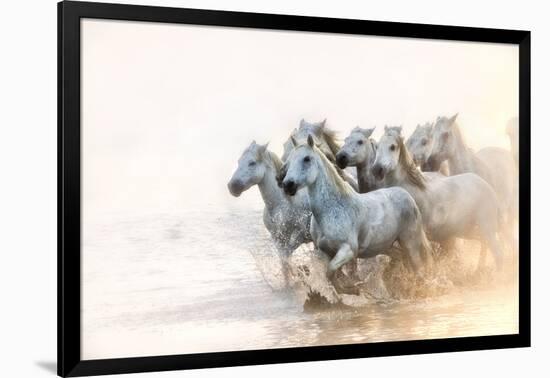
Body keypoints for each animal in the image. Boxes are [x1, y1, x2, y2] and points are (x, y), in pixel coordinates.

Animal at [282, 134, 434, 284]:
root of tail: (406, 195)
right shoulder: (324, 251)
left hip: (410, 243)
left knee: (419, 268)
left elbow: (331, 270)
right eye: (289, 161)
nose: (288, 185)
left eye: (306, 158)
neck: (332, 210)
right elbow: (328, 275)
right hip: (388, 247)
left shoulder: (348, 250)